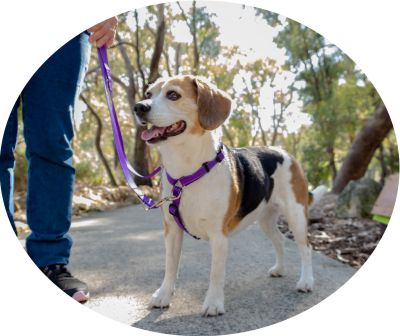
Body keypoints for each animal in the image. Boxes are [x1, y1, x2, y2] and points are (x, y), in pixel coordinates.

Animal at [134, 75, 324, 316]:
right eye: (148, 94)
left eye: (173, 94)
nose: (139, 107)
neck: (186, 174)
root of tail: (284, 152)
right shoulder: (172, 230)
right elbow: (170, 266)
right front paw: (164, 295)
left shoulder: (218, 236)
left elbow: (216, 274)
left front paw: (213, 303)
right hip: (265, 219)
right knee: (280, 240)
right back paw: (279, 269)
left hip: (296, 215)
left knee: (305, 248)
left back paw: (306, 281)